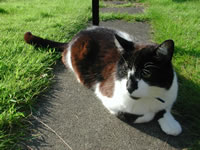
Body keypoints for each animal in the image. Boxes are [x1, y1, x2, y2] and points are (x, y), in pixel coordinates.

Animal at [24, 26, 182, 135]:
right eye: (125, 70)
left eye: (146, 73)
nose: (129, 87)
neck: (148, 98)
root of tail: (73, 38)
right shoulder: (106, 94)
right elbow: (139, 115)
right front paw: (154, 115)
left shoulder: (170, 91)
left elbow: (165, 108)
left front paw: (170, 123)